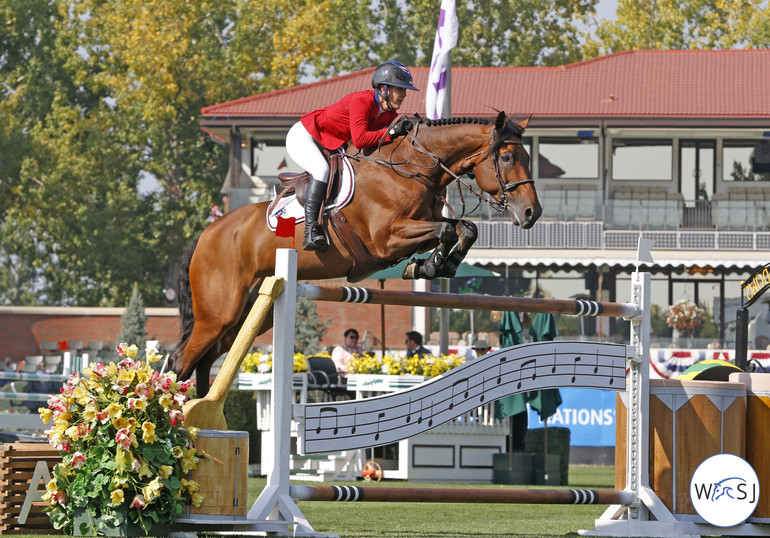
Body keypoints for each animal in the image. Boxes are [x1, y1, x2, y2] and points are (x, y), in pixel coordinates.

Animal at [171, 111, 540, 394]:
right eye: (507, 158)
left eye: (527, 157)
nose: (531, 214)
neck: (411, 168)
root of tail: (205, 235)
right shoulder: (386, 240)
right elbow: (448, 230)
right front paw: (430, 265)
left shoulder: (420, 224)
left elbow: (465, 228)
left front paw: (437, 266)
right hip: (218, 314)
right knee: (181, 360)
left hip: (245, 316)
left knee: (204, 362)